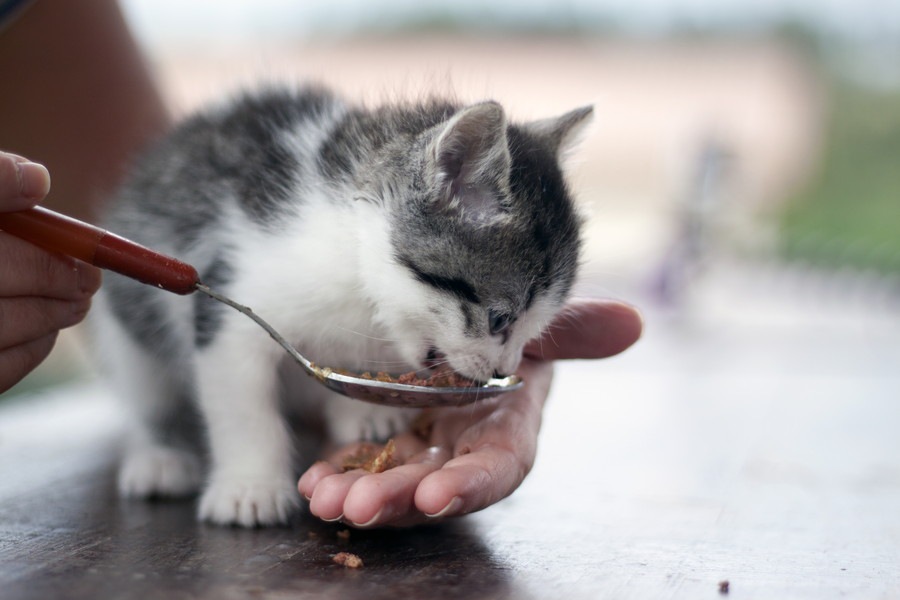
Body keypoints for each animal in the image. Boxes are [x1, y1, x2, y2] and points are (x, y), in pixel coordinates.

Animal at [93, 84, 592, 524]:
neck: (357, 275)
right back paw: (160, 454)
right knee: (147, 391)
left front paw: (365, 410)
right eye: (499, 319)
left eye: (533, 327)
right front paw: (250, 486)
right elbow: (242, 406)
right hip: (125, 325)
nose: (501, 371)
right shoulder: (229, 299)